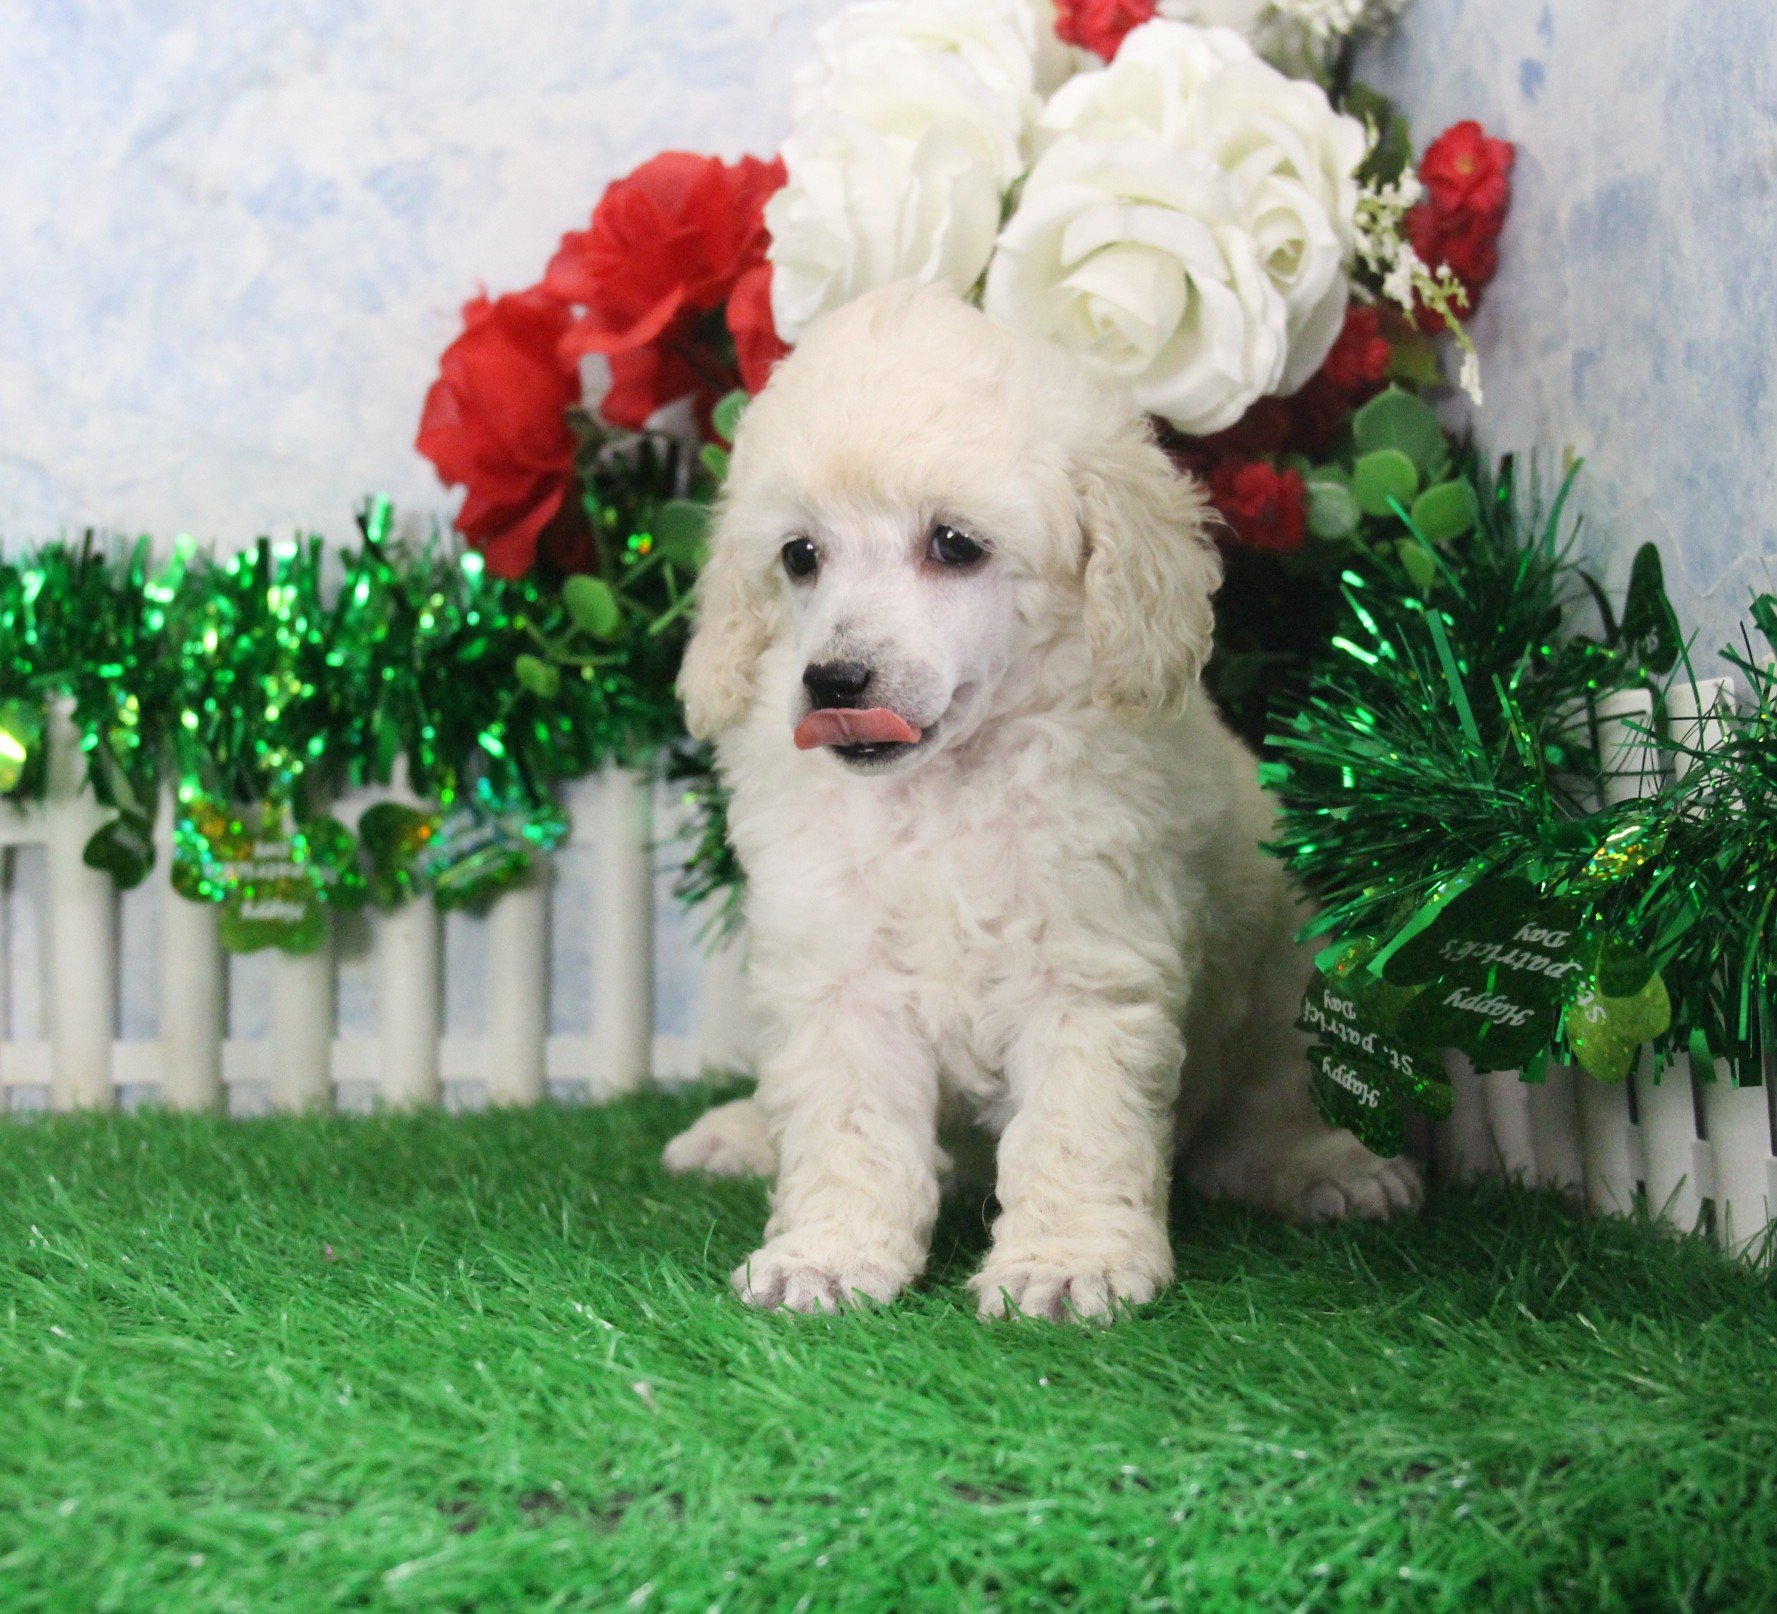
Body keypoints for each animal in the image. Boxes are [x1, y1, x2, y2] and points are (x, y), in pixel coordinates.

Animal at [663, 281, 1419, 1321]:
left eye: (953, 545)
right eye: (800, 556)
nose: (833, 680)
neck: (941, 794)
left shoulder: (1087, 968)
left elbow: (1073, 1122)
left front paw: (1064, 1264)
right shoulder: (837, 976)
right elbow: (845, 1122)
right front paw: (826, 1253)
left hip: (1288, 978)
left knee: (1264, 1111)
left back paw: (1325, 1166)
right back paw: (735, 1133)